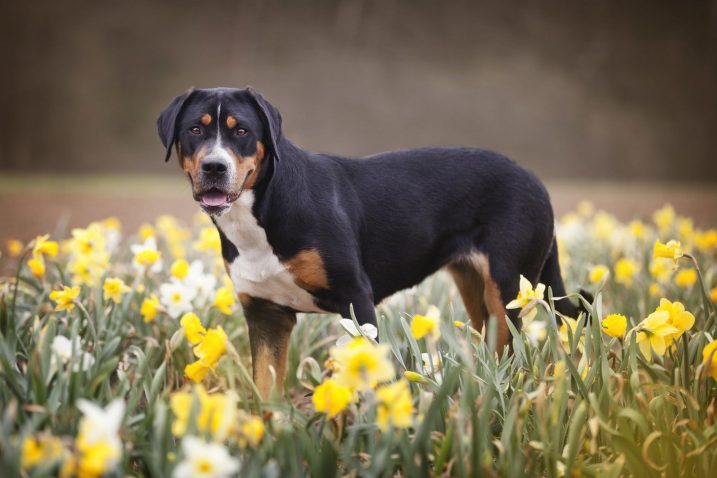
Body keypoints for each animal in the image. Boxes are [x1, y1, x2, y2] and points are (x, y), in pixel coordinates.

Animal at [157, 87, 580, 400]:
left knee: (513, 350)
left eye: (241, 131)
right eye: (196, 130)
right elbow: (266, 387)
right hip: (477, 288)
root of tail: (534, 178)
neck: (259, 215)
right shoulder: (266, 314)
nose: (215, 167)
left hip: (506, 286)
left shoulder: (355, 297)